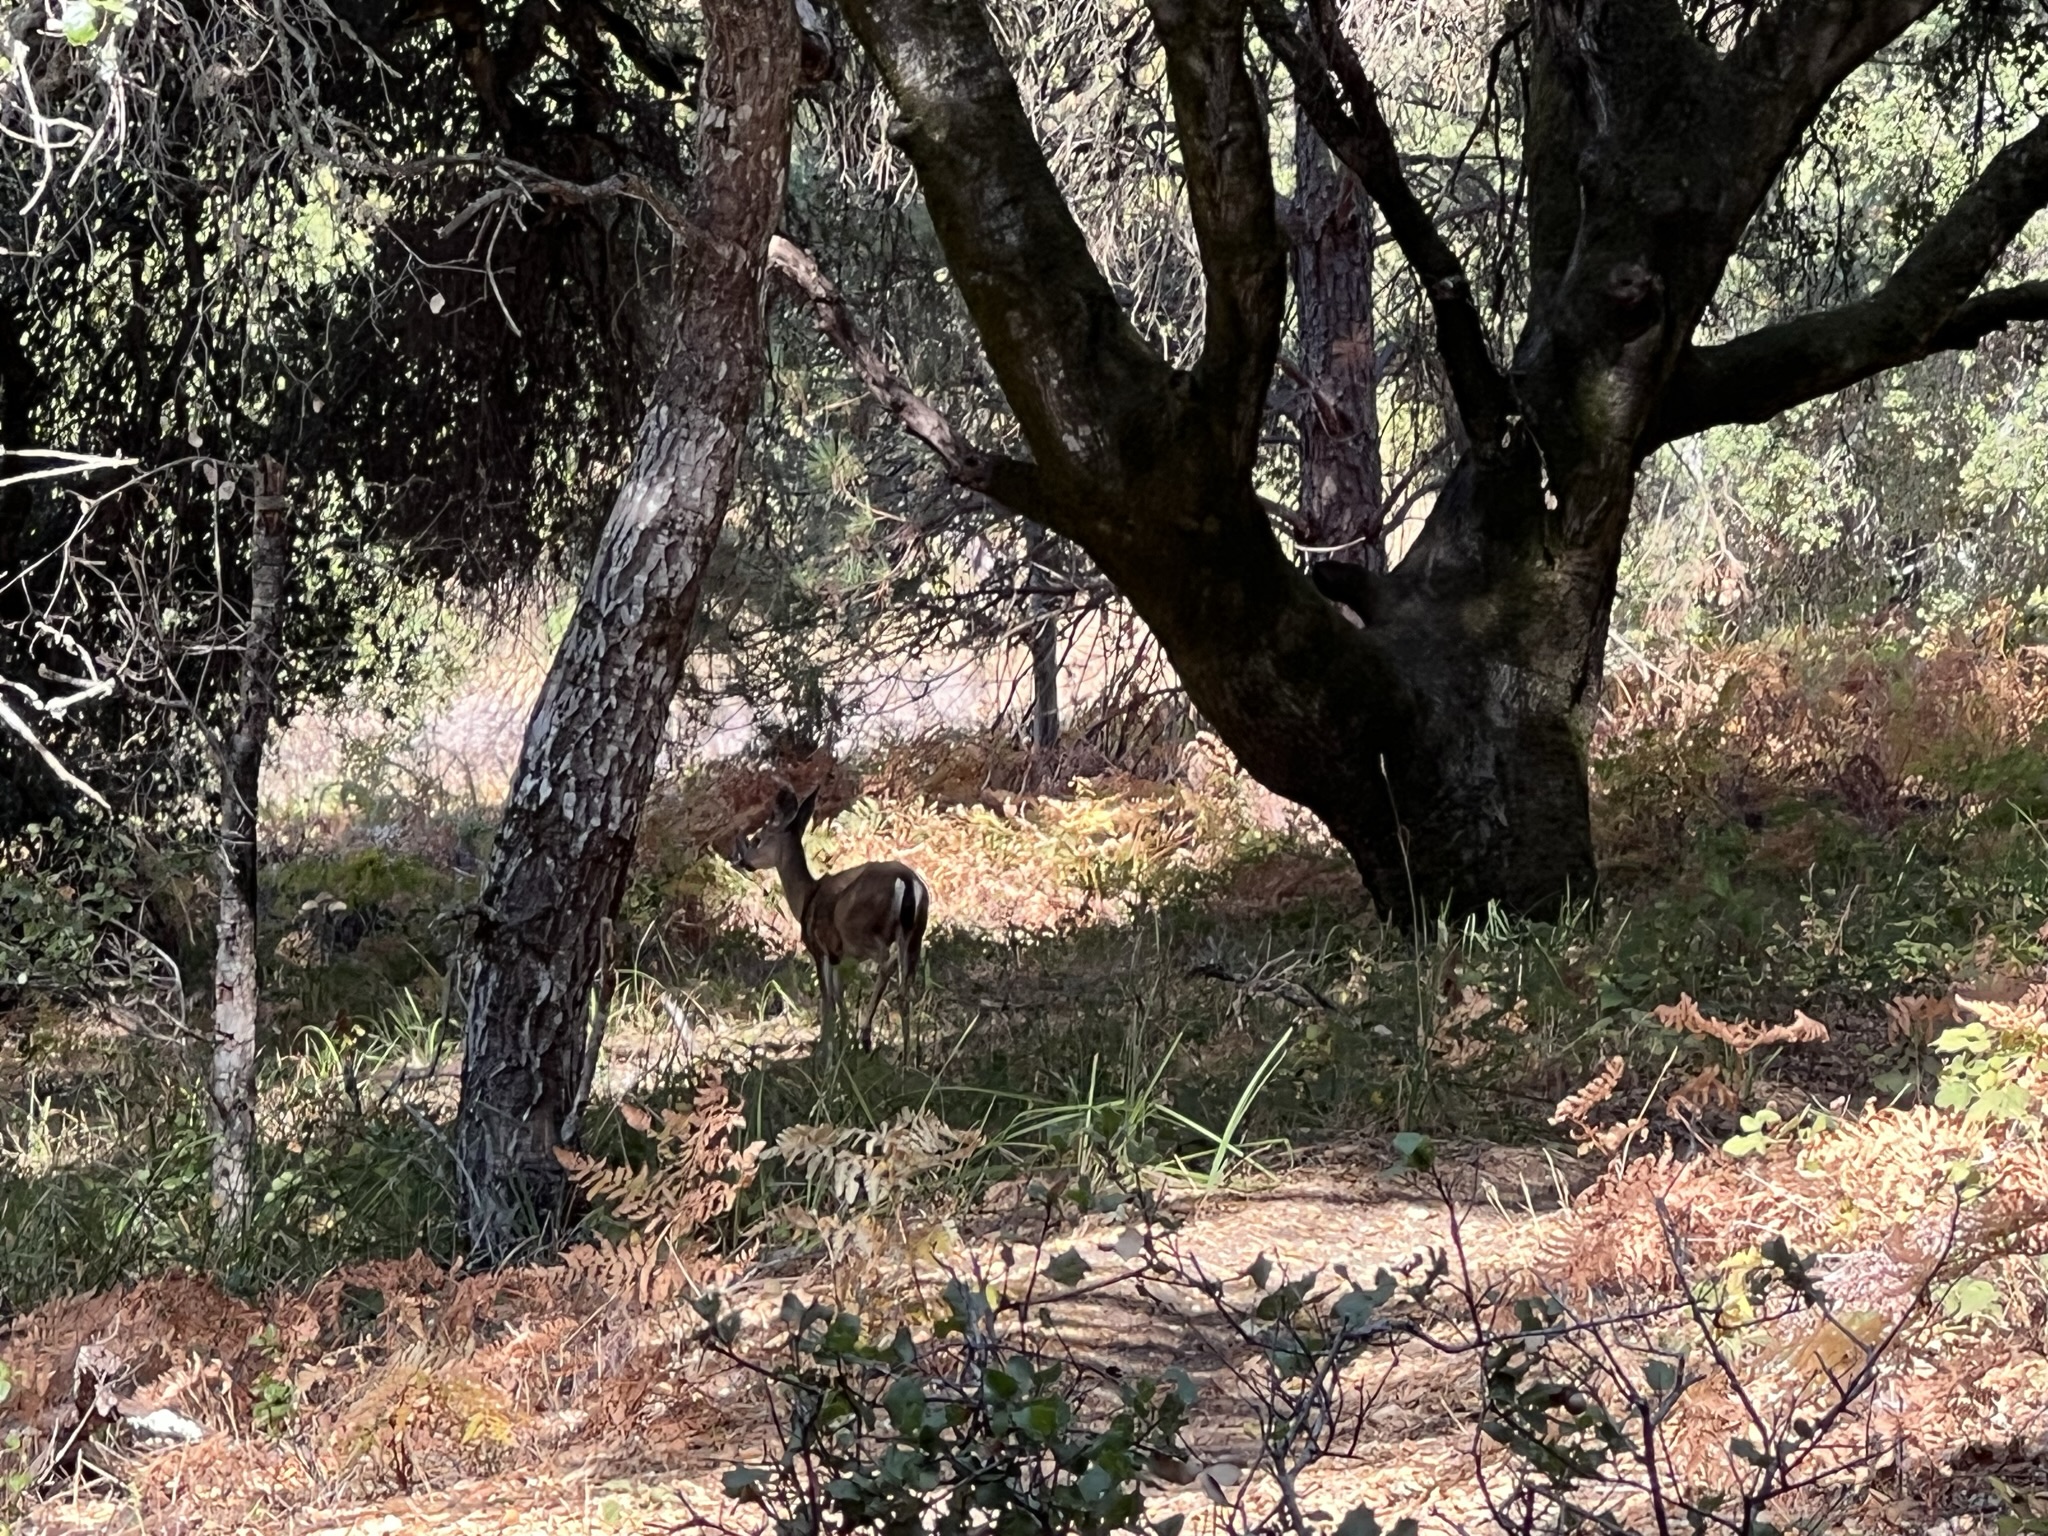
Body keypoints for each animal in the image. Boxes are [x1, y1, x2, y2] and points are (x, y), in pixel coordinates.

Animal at [729, 786, 930, 1059]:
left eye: (758, 838)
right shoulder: (839, 957)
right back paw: (906, 1056)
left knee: (886, 964)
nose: (741, 861)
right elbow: (838, 999)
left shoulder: (820, 948)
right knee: (904, 987)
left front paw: (826, 1052)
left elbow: (827, 1002)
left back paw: (867, 1035)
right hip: (915, 935)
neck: (806, 896)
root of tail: (907, 882)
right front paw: (842, 1044)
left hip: (861, 928)